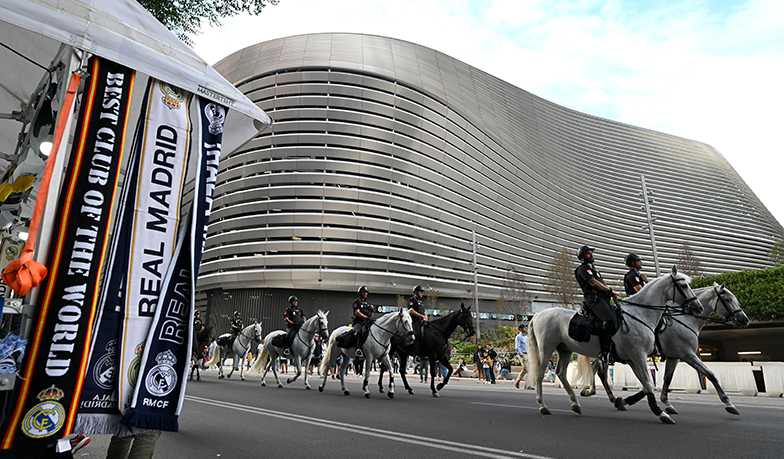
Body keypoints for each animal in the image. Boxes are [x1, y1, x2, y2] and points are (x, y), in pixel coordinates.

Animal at [528, 268, 700, 426]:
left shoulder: (633, 359)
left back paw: (576, 403)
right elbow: (649, 384)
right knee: (540, 374)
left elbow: (646, 385)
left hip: (565, 349)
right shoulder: (640, 356)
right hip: (546, 349)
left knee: (561, 373)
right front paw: (660, 412)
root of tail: (537, 315)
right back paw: (543, 406)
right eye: (683, 285)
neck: (640, 314)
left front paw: (624, 401)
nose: (698, 307)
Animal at [576, 284, 748, 416]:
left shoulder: (674, 357)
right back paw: (600, 394)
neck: (685, 319)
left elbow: (666, 379)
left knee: (596, 369)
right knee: (600, 371)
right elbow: (710, 374)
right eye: (728, 299)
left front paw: (666, 403)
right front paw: (729, 403)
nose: (744, 320)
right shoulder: (688, 354)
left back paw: (595, 392)